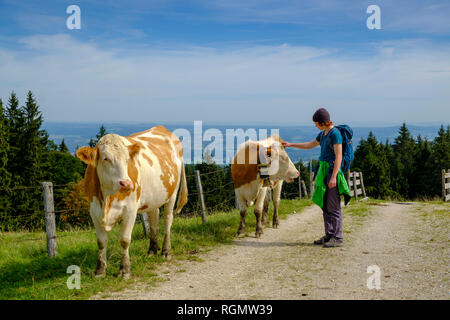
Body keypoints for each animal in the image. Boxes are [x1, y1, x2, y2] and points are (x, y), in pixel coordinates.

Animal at [75, 125, 186, 278]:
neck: (107, 198)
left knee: (167, 220)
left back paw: (166, 251)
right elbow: (101, 242)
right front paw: (100, 270)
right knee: (154, 218)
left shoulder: (130, 210)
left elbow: (124, 239)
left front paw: (125, 270)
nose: (126, 184)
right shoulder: (94, 211)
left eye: (128, 159)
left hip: (172, 194)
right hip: (153, 197)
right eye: (105, 158)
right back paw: (152, 250)